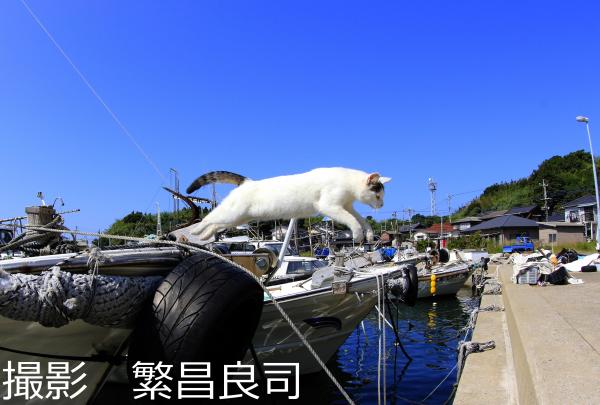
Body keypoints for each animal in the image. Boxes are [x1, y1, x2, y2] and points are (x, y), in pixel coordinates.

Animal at [186, 168, 391, 243]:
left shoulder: (347, 206)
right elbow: (353, 221)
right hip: (232, 213)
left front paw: (369, 234)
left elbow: (362, 220)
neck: (348, 182)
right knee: (209, 218)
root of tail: (247, 181)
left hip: (236, 219)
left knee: (216, 224)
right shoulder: (330, 206)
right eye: (377, 194)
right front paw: (357, 235)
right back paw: (196, 230)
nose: (382, 204)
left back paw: (205, 236)